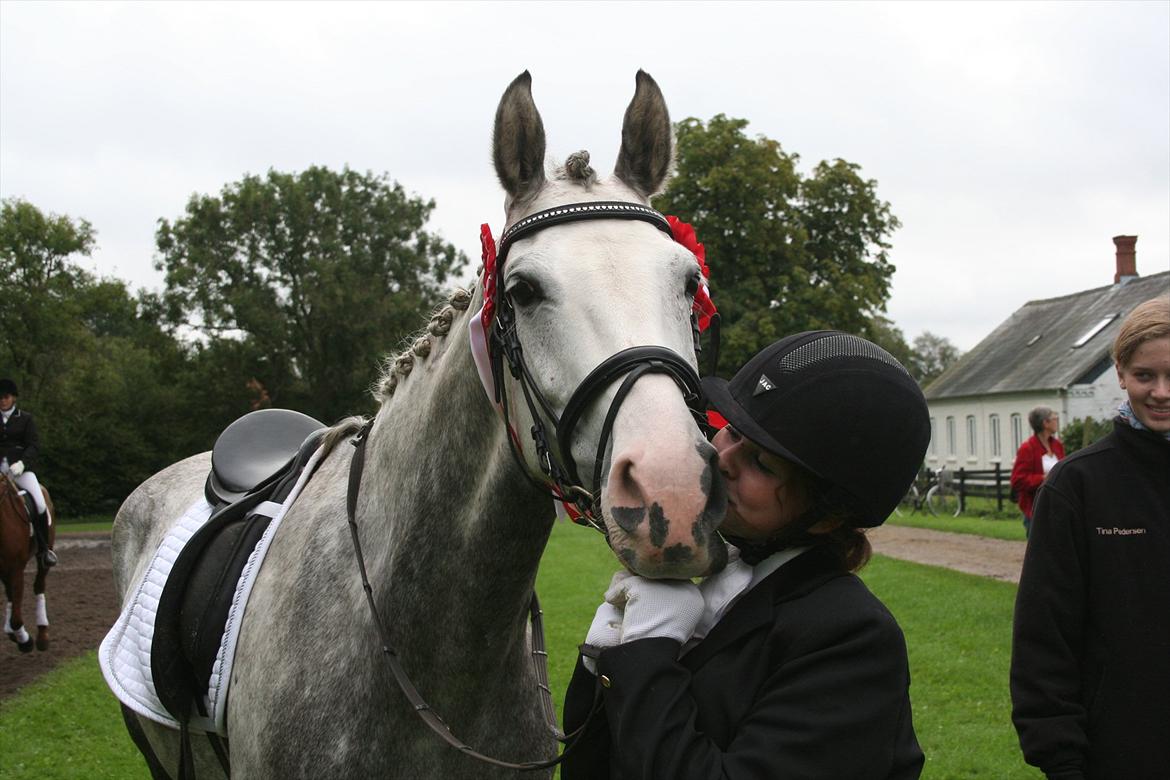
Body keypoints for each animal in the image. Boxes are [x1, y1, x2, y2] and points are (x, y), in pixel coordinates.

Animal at [1, 472, 54, 654]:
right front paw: (17, 635)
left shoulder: (16, 567)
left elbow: (17, 619)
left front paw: (25, 641)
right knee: (11, 596)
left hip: (43, 554)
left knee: (39, 586)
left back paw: (42, 634)